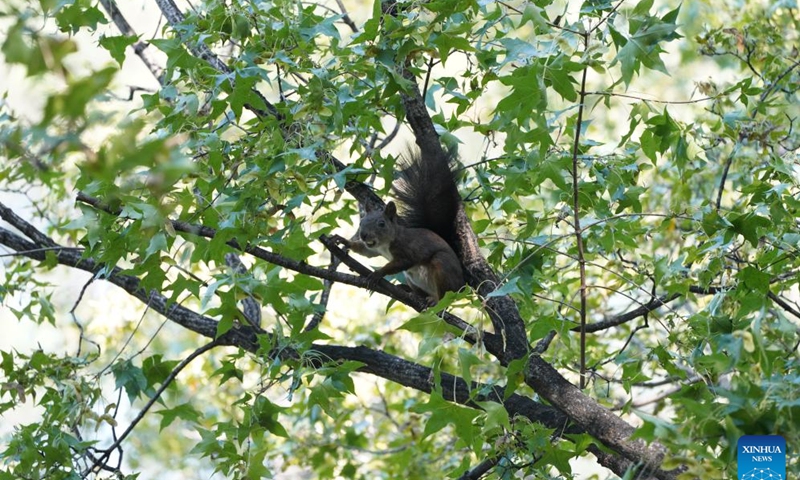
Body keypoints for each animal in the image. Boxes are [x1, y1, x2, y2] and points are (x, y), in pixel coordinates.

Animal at [332, 148, 468, 304]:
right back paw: (410, 291)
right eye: (361, 222)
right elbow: (366, 252)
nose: (363, 235)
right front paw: (342, 240)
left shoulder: (406, 249)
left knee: (446, 294)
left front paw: (378, 273)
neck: (385, 244)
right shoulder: (374, 250)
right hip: (413, 279)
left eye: (381, 224)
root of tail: (463, 286)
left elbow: (403, 262)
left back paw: (436, 301)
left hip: (444, 267)